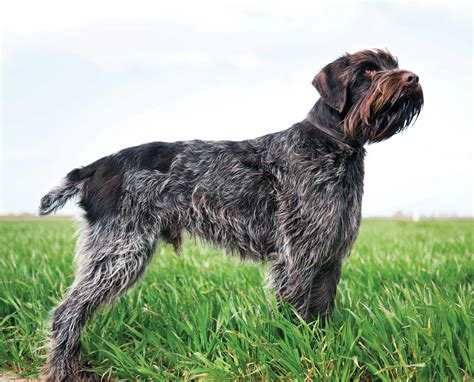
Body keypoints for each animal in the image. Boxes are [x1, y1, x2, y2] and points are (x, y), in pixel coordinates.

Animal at [38, 49, 422, 380]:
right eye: (367, 71)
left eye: (392, 64)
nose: (413, 78)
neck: (334, 146)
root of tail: (96, 166)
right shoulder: (298, 258)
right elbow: (297, 315)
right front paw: (301, 356)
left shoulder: (329, 257)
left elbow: (322, 314)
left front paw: (323, 351)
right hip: (118, 252)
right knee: (65, 313)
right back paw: (61, 371)